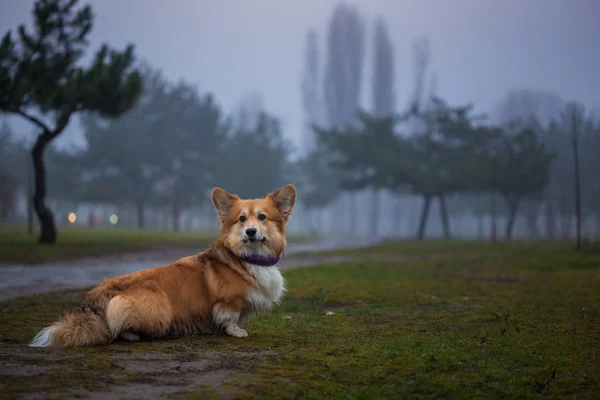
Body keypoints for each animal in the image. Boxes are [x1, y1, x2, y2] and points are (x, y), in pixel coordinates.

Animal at [29, 184, 296, 346]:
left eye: (262, 217)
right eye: (241, 219)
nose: (251, 232)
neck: (248, 257)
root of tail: (101, 291)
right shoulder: (229, 301)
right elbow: (229, 317)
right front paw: (236, 331)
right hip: (155, 308)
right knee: (117, 323)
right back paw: (132, 334)